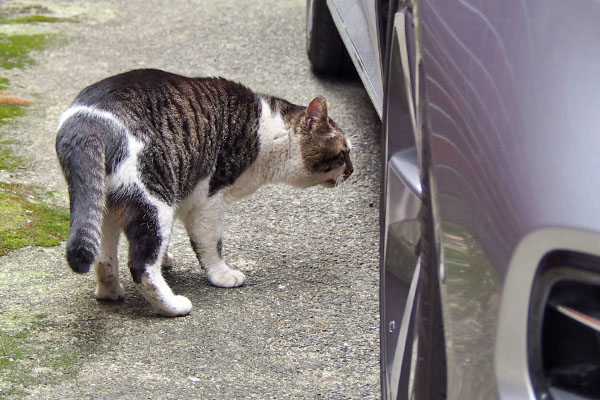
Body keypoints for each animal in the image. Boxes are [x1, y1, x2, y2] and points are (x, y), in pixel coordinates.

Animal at [54, 69, 354, 318]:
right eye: (344, 153)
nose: (352, 171)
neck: (270, 132)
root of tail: (86, 121)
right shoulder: (209, 201)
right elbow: (210, 245)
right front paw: (221, 275)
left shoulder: (183, 194)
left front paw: (167, 259)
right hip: (154, 199)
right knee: (141, 265)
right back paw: (172, 306)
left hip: (107, 206)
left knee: (104, 256)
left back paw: (110, 292)